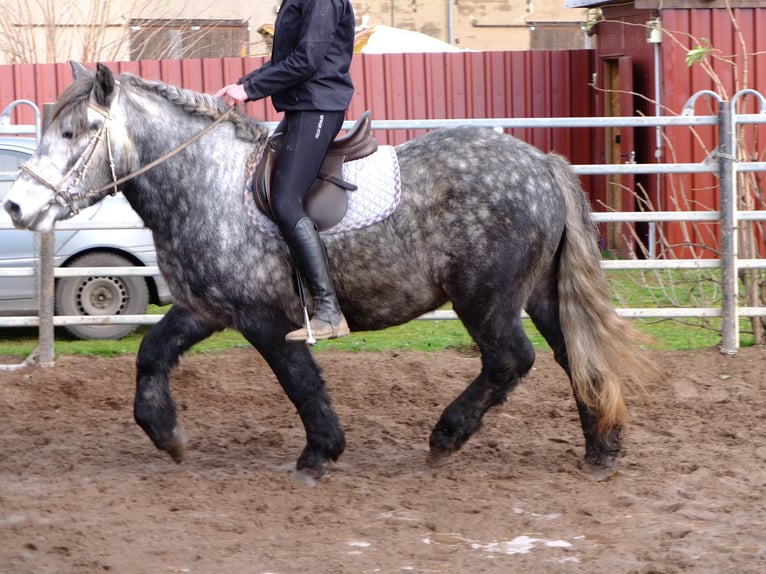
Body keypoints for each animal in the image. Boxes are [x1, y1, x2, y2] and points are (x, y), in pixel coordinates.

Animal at [3, 65, 656, 484]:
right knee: (576, 357)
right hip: (539, 293)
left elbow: (302, 384)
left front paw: (320, 454)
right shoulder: (207, 308)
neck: (204, 182)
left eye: (72, 132)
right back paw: (602, 450)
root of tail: (540, 163)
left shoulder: (268, 321)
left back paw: (447, 437)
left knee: (509, 362)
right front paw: (167, 435)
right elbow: (151, 354)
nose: (16, 207)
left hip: (486, 299)